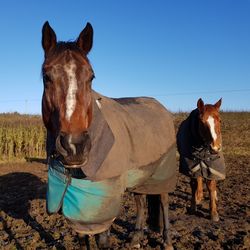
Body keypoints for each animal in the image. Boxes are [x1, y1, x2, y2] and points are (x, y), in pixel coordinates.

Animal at [41, 22, 176, 250]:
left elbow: (102, 240)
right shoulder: (81, 207)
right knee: (140, 201)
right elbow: (84, 239)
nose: (74, 146)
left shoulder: (103, 205)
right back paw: (136, 238)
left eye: (91, 77)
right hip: (139, 175)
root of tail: (161, 108)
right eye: (46, 77)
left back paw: (167, 240)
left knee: (164, 201)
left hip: (161, 174)